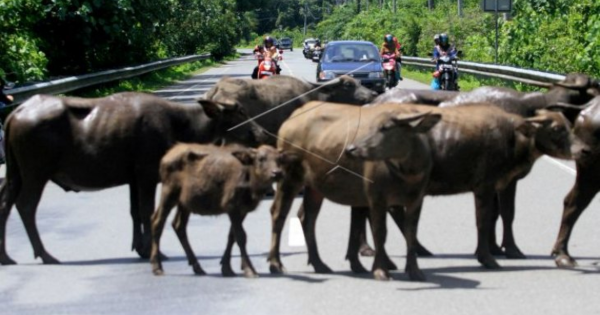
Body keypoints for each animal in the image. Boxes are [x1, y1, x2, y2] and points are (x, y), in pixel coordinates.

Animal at [0, 92, 268, 266]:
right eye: (240, 111)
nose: (260, 133)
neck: (179, 123)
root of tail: (18, 112)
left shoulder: (133, 178)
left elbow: (135, 211)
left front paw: (140, 247)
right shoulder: (147, 174)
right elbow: (147, 210)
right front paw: (152, 250)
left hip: (15, 174)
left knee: (5, 204)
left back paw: (6, 257)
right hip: (36, 173)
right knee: (26, 206)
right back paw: (45, 255)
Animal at [149, 144, 282, 278]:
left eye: (278, 159)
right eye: (261, 159)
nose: (276, 173)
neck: (250, 180)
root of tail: (166, 156)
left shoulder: (242, 211)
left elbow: (231, 236)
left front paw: (227, 268)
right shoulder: (232, 206)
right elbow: (241, 236)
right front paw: (249, 269)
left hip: (184, 203)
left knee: (178, 225)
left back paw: (197, 267)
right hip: (169, 193)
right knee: (157, 222)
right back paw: (157, 266)